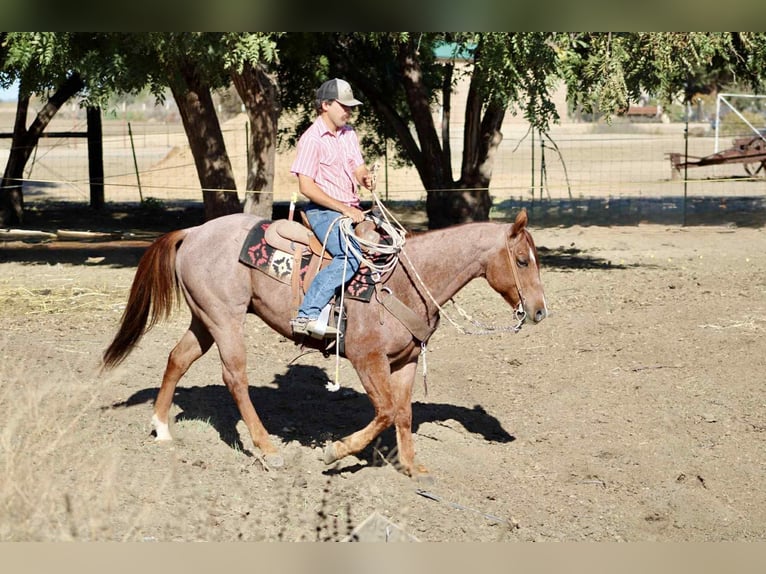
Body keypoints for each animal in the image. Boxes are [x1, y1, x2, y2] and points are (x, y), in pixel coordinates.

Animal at [101, 209, 547, 479]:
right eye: (522, 261)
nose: (540, 311)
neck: (406, 279)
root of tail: (193, 231)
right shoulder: (367, 358)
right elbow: (386, 411)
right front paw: (335, 452)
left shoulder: (404, 361)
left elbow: (403, 413)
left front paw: (410, 466)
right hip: (225, 320)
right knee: (235, 378)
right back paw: (267, 448)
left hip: (204, 319)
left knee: (178, 359)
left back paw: (162, 428)